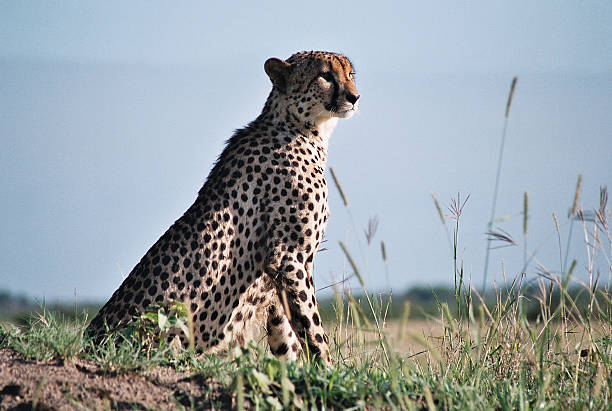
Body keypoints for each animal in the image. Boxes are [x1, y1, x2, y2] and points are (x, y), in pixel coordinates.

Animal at [88, 50, 360, 364]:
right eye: (325, 75)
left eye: (350, 74)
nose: (354, 97)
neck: (300, 127)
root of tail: (89, 341)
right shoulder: (289, 258)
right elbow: (313, 329)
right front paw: (329, 369)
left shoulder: (276, 279)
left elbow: (286, 337)